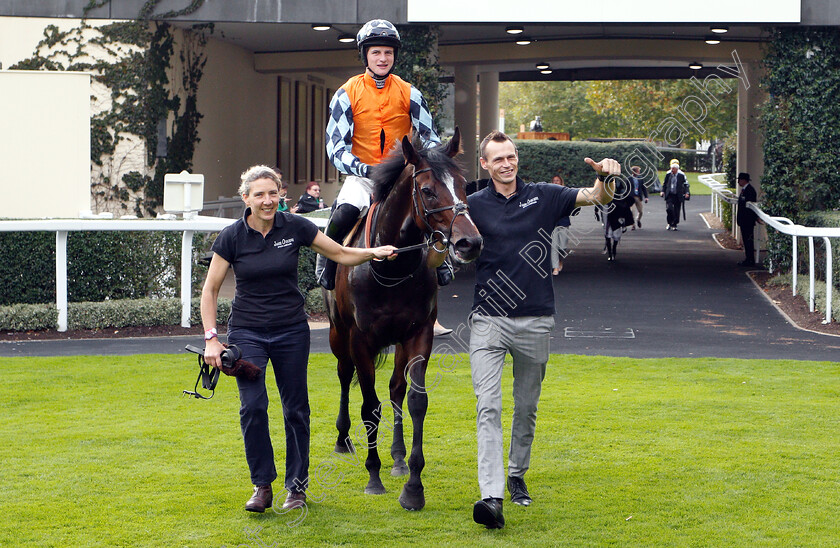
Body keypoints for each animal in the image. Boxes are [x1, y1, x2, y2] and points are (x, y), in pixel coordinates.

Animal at [324, 127, 482, 510]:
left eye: (463, 184)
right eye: (427, 190)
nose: (469, 242)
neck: (391, 265)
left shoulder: (418, 333)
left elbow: (415, 401)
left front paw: (412, 485)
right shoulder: (360, 340)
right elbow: (370, 407)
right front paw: (373, 476)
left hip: (395, 340)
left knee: (396, 389)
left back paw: (396, 457)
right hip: (338, 335)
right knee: (344, 375)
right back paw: (343, 439)